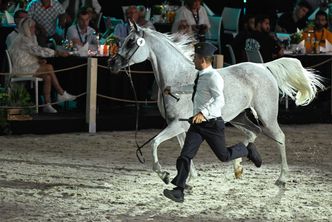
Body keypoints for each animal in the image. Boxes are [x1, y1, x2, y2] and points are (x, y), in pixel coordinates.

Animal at [108, 22, 324, 186]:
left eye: (131, 42)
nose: (112, 63)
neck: (177, 78)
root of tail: (264, 66)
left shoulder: (177, 124)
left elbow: (154, 143)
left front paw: (164, 175)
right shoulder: (178, 125)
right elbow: (183, 149)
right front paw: (190, 178)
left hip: (266, 115)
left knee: (279, 137)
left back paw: (281, 178)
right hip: (239, 116)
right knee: (252, 133)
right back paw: (238, 168)